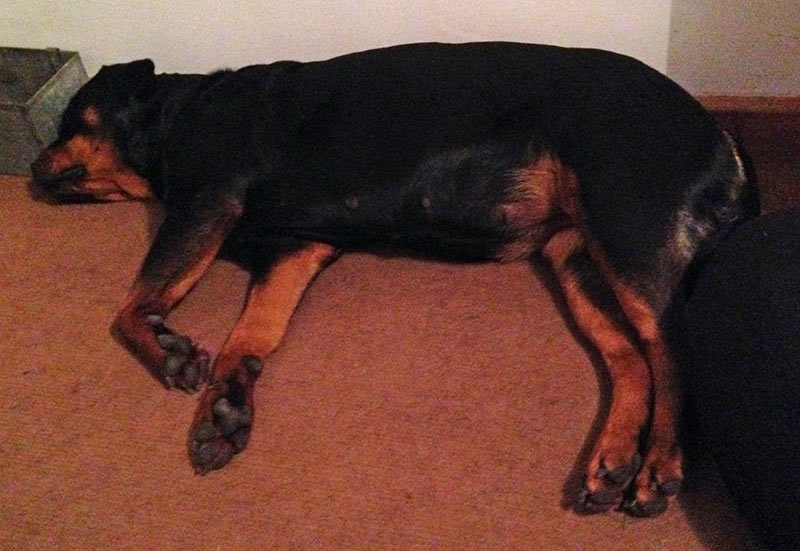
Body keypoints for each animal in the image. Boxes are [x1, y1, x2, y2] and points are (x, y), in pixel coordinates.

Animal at [30, 42, 759, 517]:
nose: (31, 169)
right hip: (578, 257)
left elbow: (132, 304)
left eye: (68, 123)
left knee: (671, 353)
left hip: (628, 227)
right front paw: (226, 406)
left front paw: (170, 351)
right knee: (631, 358)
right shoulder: (292, 251)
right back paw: (611, 460)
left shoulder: (205, 203)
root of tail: (721, 135)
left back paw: (660, 462)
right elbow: (248, 337)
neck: (176, 114)